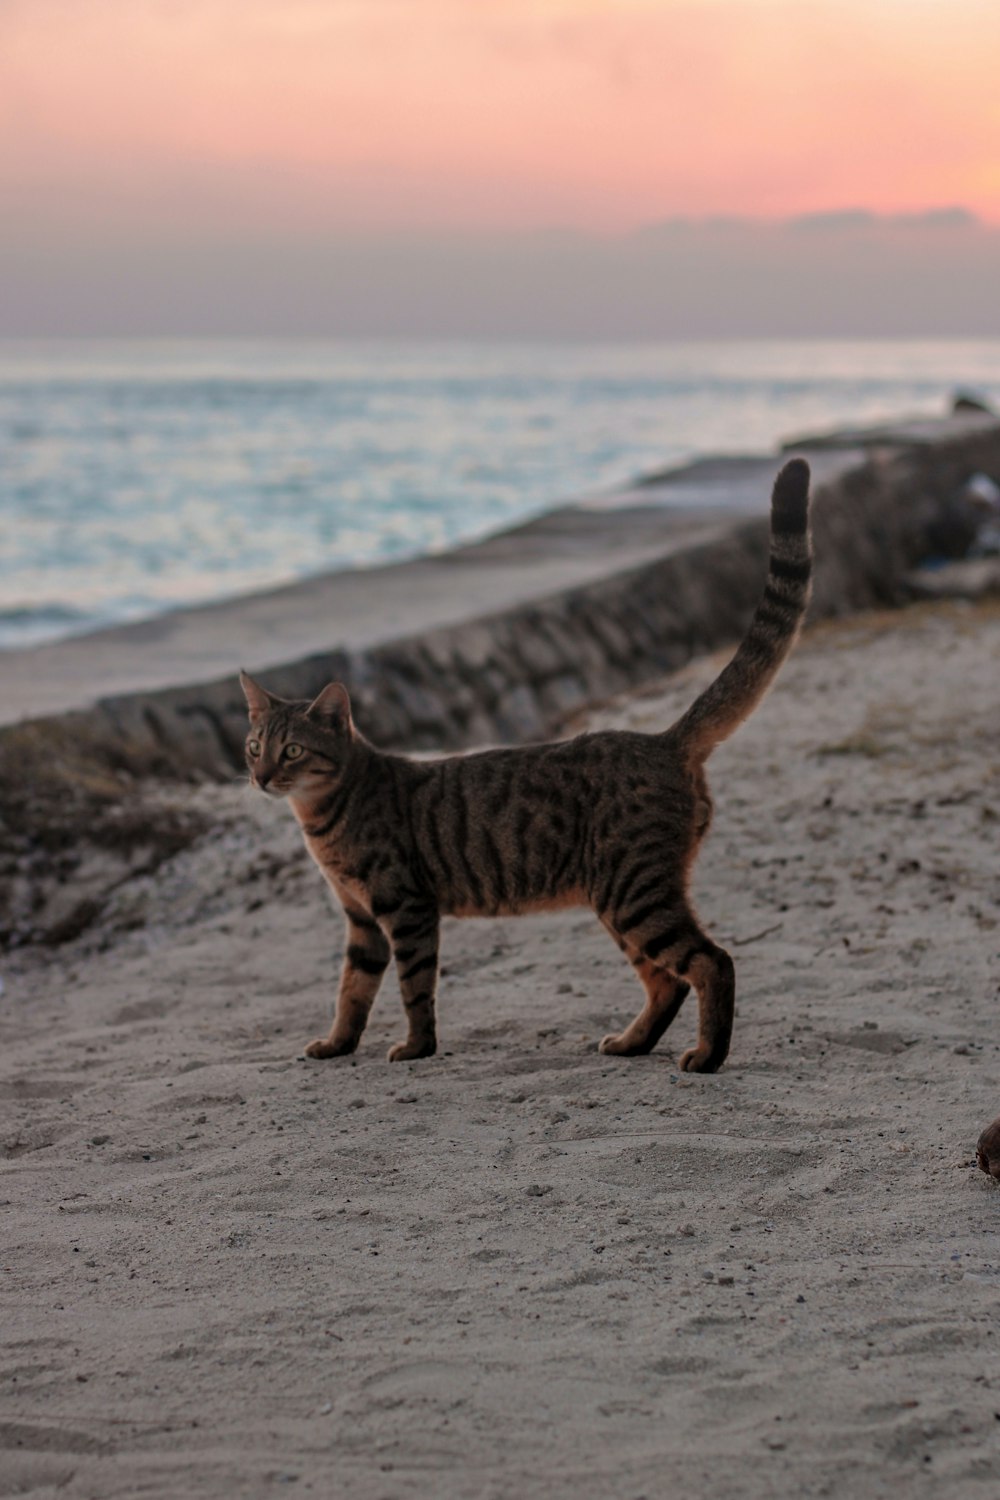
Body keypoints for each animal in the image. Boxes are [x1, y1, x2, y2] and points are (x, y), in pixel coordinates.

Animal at [242, 453, 815, 1068]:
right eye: (254, 747)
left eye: (292, 750)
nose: (261, 776)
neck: (323, 817)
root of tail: (663, 738)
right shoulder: (361, 920)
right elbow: (351, 990)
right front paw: (337, 1044)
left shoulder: (406, 906)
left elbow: (414, 988)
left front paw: (417, 1047)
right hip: (620, 899)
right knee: (667, 981)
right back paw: (632, 1042)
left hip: (632, 891)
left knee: (713, 961)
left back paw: (707, 1056)